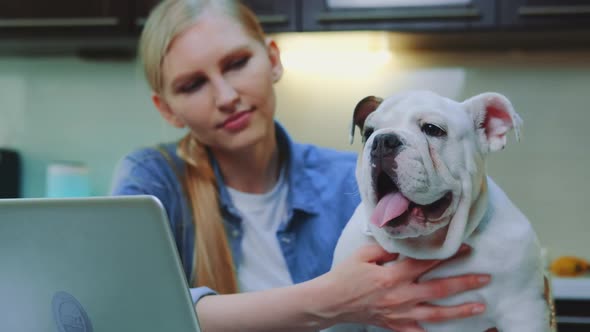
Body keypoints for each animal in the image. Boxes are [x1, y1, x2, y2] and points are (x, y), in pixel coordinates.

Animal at [330, 91, 552, 332]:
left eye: (432, 129)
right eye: (368, 133)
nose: (381, 140)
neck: (427, 248)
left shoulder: (524, 310)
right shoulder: (344, 319)